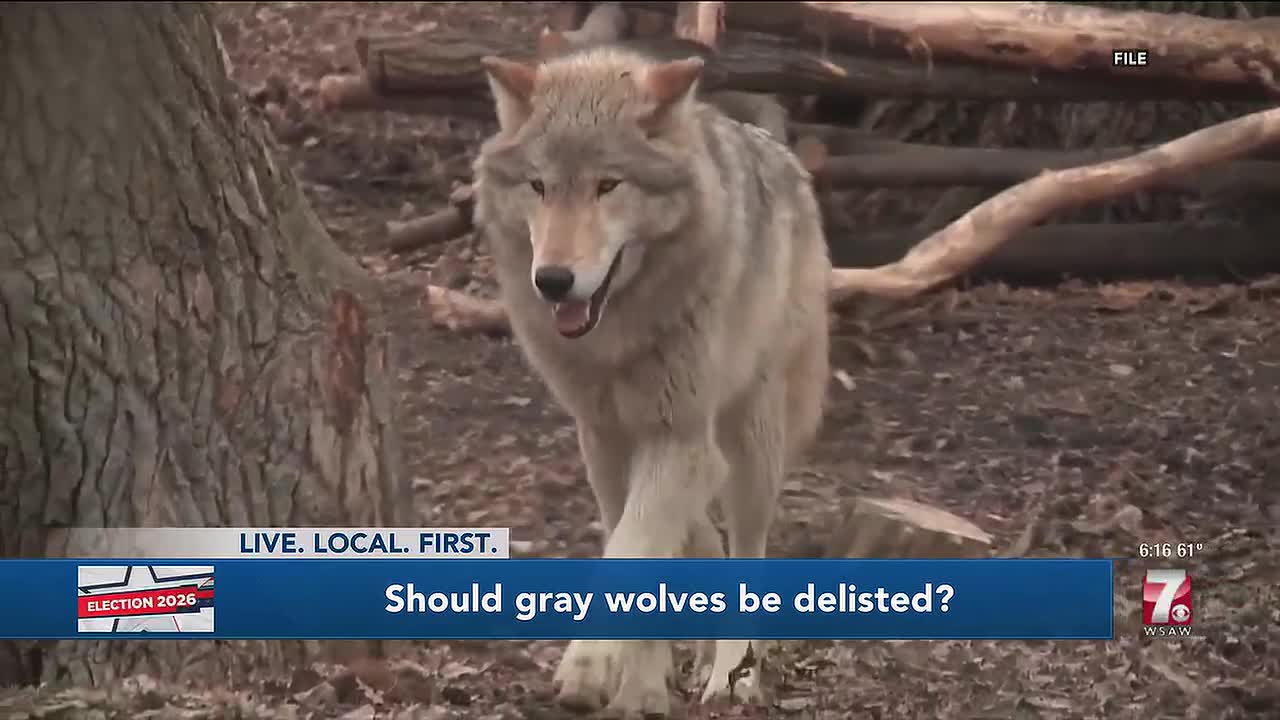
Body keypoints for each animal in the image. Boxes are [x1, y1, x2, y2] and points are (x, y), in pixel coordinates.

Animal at [472, 38, 831, 717]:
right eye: (539, 186)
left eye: (608, 185)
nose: (552, 280)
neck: (619, 335)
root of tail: (781, 153)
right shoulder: (605, 440)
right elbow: (636, 547)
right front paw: (638, 684)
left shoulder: (677, 437)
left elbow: (632, 552)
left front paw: (596, 668)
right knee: (703, 539)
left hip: (751, 438)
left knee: (747, 547)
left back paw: (734, 675)